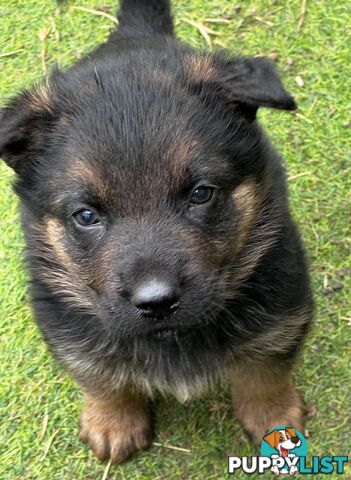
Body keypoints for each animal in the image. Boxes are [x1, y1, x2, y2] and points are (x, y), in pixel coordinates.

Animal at [0, 0, 314, 464]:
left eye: (201, 193)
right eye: (86, 216)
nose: (156, 302)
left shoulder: (282, 304)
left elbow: (265, 369)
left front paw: (274, 418)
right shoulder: (63, 320)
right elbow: (98, 374)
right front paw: (112, 419)